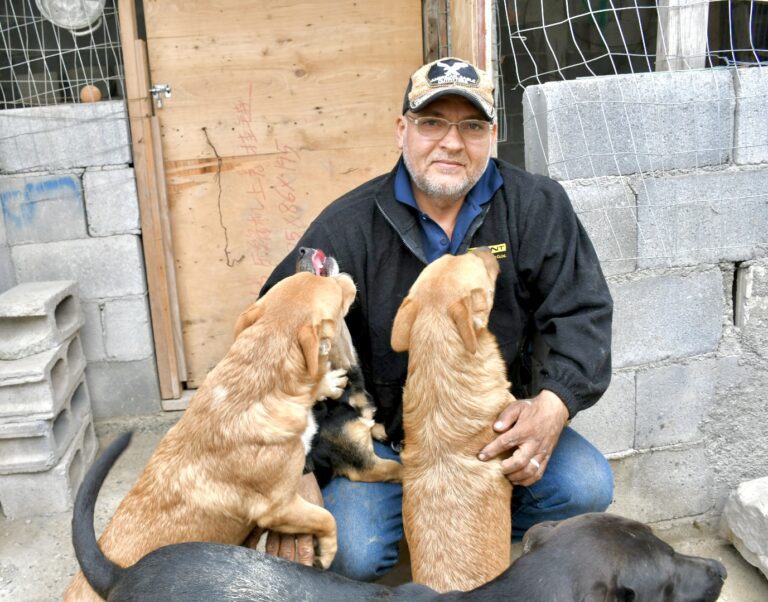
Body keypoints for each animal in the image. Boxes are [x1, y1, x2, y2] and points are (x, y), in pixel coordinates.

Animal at [64, 272, 356, 600]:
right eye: (335, 293)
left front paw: (328, 382)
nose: (346, 276)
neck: (255, 381)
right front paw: (327, 553)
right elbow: (327, 519)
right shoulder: (280, 507)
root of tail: (111, 576)